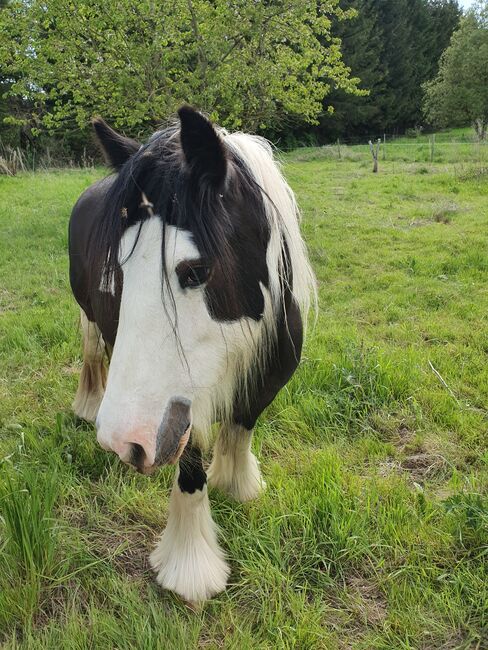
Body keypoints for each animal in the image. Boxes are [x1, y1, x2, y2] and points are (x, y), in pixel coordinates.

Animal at [68, 105, 314, 596]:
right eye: (117, 269)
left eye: (195, 271)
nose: (120, 440)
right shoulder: (183, 408)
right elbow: (191, 469)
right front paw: (191, 568)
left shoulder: (264, 380)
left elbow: (241, 426)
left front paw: (237, 486)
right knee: (93, 350)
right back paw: (88, 403)